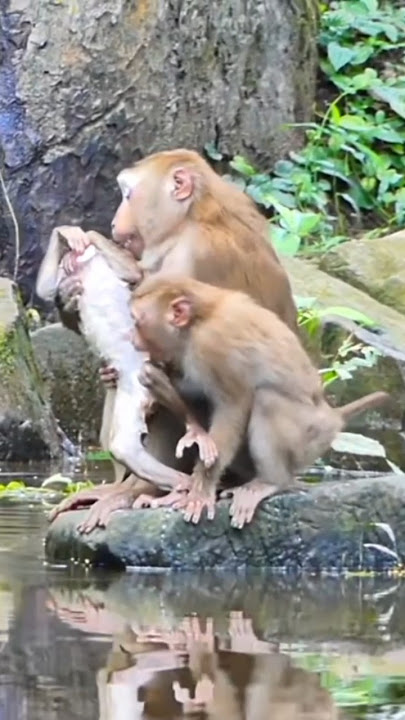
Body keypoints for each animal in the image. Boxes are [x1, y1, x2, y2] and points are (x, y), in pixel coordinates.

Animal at [36, 227, 217, 530]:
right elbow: (46, 288)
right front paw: (66, 238)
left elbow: (134, 274)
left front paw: (77, 234)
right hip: (139, 387)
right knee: (124, 444)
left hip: (144, 376)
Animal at [129, 274, 390, 528]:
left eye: (136, 322)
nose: (130, 336)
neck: (199, 321)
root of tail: (332, 417)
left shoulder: (213, 345)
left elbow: (233, 407)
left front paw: (199, 491)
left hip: (310, 440)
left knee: (268, 400)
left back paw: (270, 481)